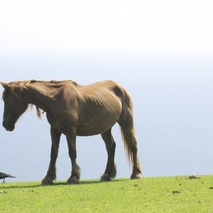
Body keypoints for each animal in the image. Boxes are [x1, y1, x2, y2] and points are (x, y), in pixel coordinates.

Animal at [0, 79, 142, 184]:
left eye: (5, 100)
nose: (5, 125)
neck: (55, 99)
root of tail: (120, 87)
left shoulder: (70, 130)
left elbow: (72, 152)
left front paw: (73, 177)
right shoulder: (55, 130)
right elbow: (54, 153)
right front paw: (48, 177)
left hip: (126, 123)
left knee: (133, 145)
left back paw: (135, 174)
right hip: (105, 128)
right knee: (111, 147)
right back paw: (107, 174)